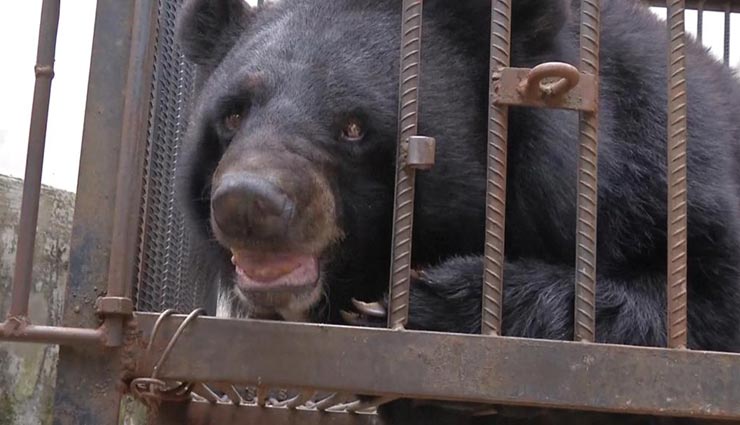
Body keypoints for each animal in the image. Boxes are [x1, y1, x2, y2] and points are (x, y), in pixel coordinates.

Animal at [174, 0, 740, 423]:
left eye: (353, 127)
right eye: (232, 114)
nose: (247, 203)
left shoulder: (658, 169)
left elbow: (705, 309)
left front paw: (428, 304)